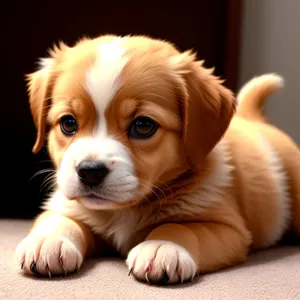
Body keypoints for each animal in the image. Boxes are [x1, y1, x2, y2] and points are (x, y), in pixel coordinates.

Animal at [15, 35, 300, 284]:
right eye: (68, 123)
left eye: (143, 126)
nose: (90, 171)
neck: (121, 212)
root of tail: (253, 117)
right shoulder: (65, 205)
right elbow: (59, 221)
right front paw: (49, 241)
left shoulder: (226, 227)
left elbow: (182, 228)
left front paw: (162, 245)